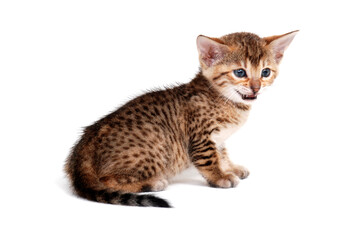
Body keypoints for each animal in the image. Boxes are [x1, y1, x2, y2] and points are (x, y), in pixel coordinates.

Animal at [64, 30, 298, 207]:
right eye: (240, 72)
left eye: (266, 72)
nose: (256, 88)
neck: (225, 100)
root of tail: (83, 146)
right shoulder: (201, 136)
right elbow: (209, 158)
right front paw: (220, 177)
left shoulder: (218, 138)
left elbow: (222, 153)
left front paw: (231, 167)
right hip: (157, 146)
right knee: (106, 180)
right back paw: (151, 183)